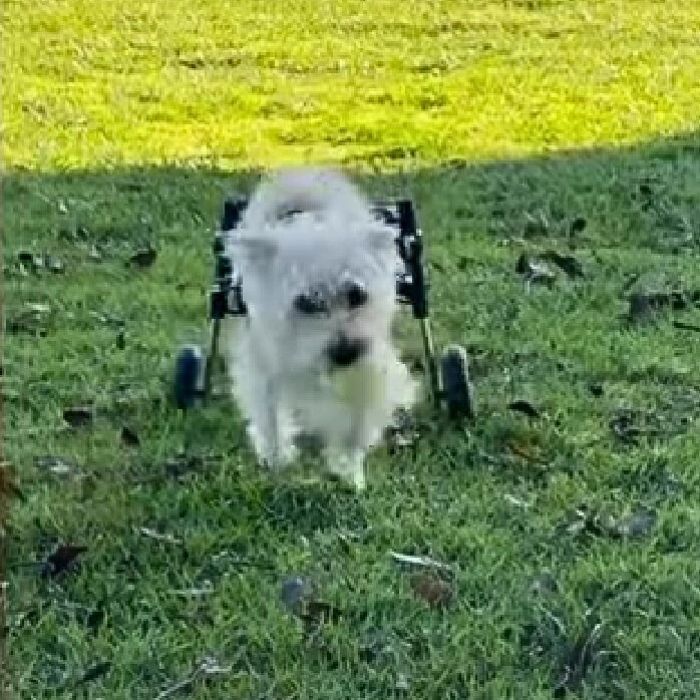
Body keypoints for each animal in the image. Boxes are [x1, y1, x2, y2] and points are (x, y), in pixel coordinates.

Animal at [220, 167, 416, 490]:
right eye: (306, 302)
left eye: (357, 295)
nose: (346, 352)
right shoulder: (264, 365)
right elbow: (270, 417)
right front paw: (277, 461)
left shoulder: (369, 365)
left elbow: (357, 420)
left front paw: (349, 467)